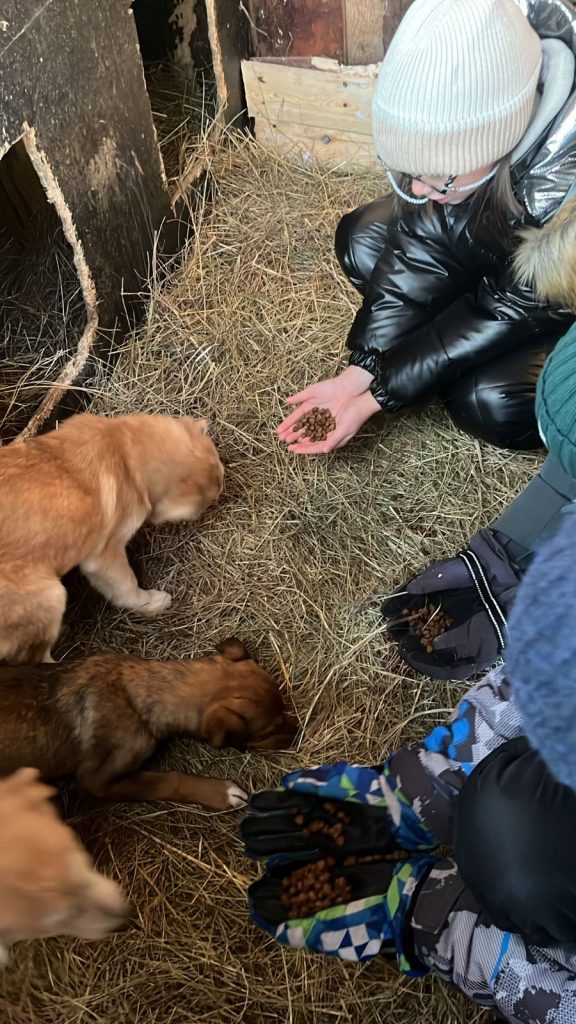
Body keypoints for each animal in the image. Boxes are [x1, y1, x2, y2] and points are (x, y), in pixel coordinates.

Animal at [0, 412, 224, 664]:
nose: (216, 504)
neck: (123, 453)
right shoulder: (104, 556)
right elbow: (127, 587)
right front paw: (152, 603)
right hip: (50, 597)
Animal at [0, 639, 297, 810]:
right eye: (269, 730)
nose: (297, 733)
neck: (136, 692)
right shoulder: (96, 780)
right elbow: (169, 780)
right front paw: (220, 793)